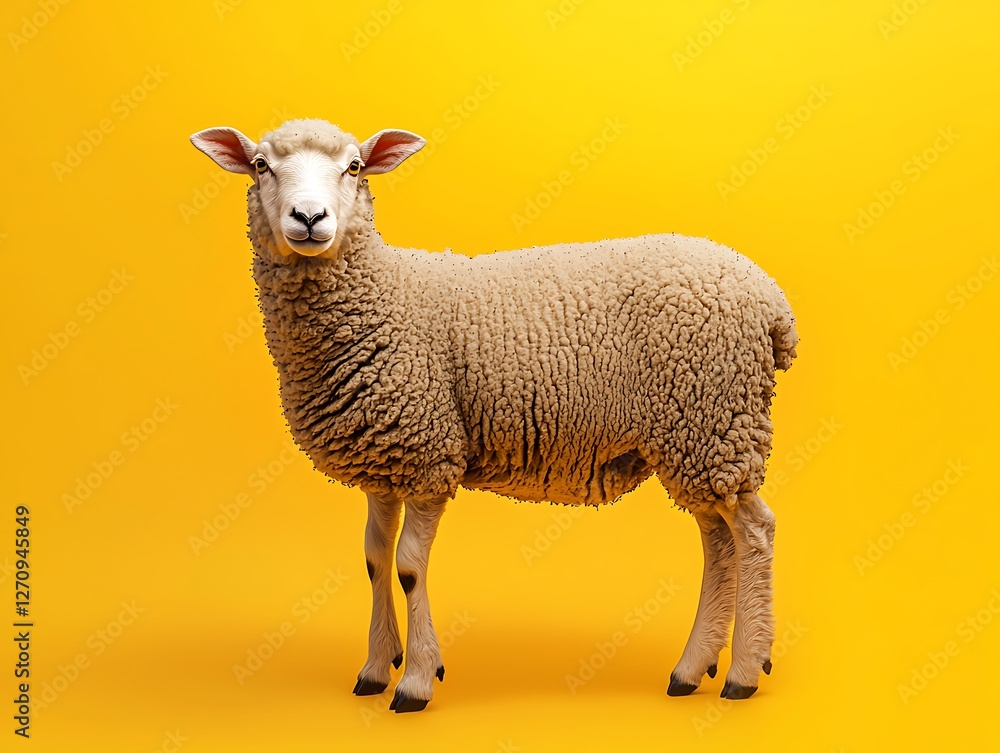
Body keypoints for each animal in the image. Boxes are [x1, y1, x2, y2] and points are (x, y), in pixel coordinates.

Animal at [190, 118, 798, 712]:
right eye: (261, 165)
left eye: (355, 167)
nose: (310, 218)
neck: (384, 291)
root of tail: (773, 303)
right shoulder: (384, 459)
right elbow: (374, 559)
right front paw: (376, 668)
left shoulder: (430, 451)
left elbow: (408, 567)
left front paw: (416, 681)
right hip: (696, 437)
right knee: (719, 541)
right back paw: (693, 669)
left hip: (713, 419)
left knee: (754, 533)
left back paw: (744, 672)